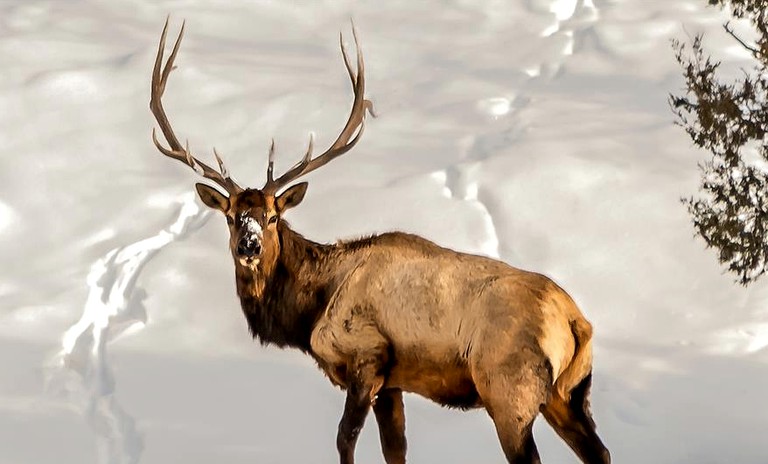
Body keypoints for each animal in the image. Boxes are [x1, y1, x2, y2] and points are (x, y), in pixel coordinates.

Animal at [150, 19, 612, 464]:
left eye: (273, 217)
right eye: (230, 217)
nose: (249, 246)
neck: (310, 310)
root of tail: (576, 321)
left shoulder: (367, 357)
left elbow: (344, 440)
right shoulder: (394, 382)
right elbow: (396, 449)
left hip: (509, 390)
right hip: (568, 394)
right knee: (600, 452)